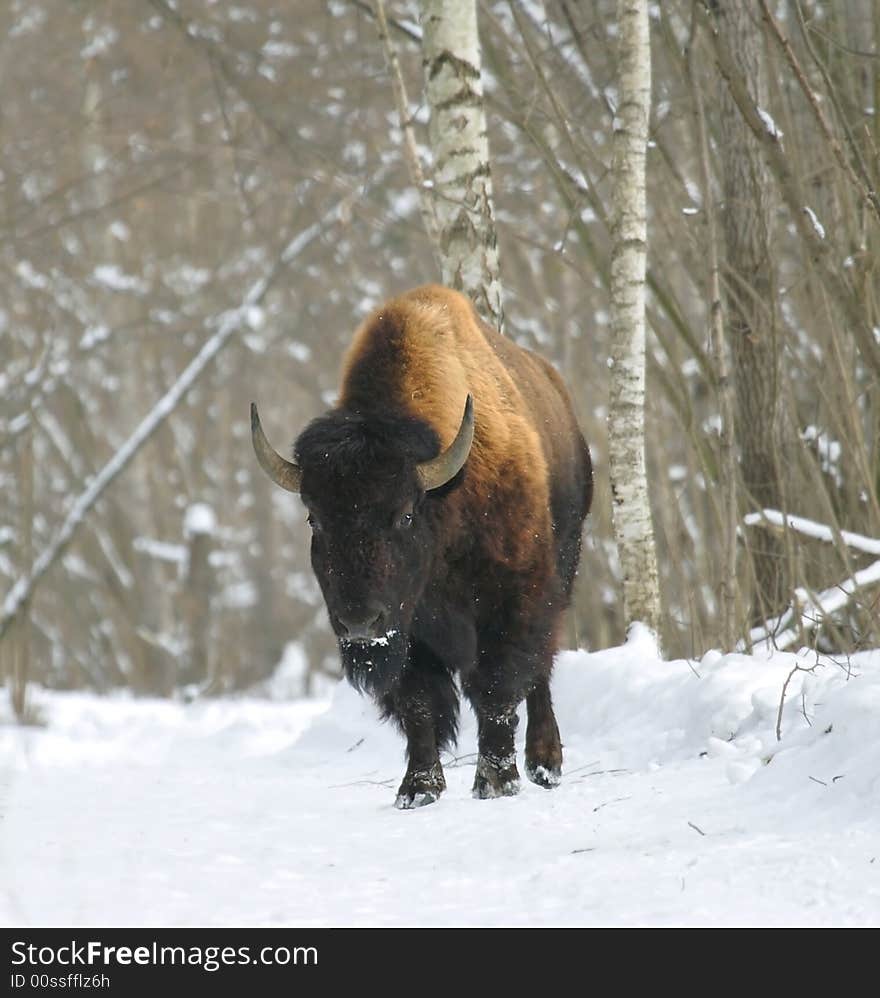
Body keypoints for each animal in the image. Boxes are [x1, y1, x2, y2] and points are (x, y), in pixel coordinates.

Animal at [253, 286, 592, 808]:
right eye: (315, 518)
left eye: (404, 515)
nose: (359, 623)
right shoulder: (406, 633)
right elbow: (418, 704)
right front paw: (417, 789)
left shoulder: (510, 605)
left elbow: (496, 689)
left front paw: (495, 782)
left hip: (562, 570)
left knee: (540, 672)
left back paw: (544, 764)